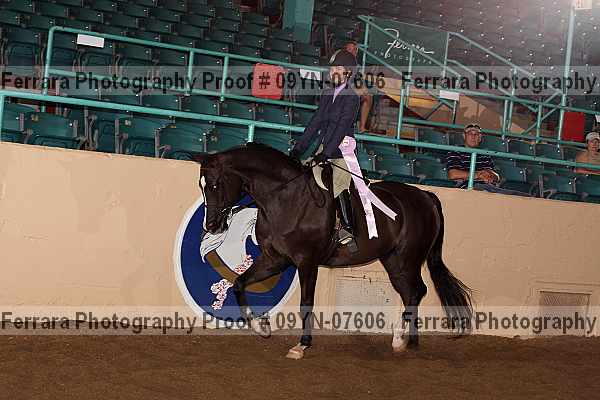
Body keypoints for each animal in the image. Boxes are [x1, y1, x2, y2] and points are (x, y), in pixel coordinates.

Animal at [195, 143, 472, 359]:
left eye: (216, 184)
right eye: (202, 186)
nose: (211, 226)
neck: (286, 198)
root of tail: (425, 196)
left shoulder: (307, 262)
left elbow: (306, 303)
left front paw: (302, 345)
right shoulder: (275, 259)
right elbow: (239, 283)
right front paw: (259, 326)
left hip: (407, 259)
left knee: (417, 291)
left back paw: (399, 338)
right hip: (394, 261)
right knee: (412, 292)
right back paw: (407, 341)